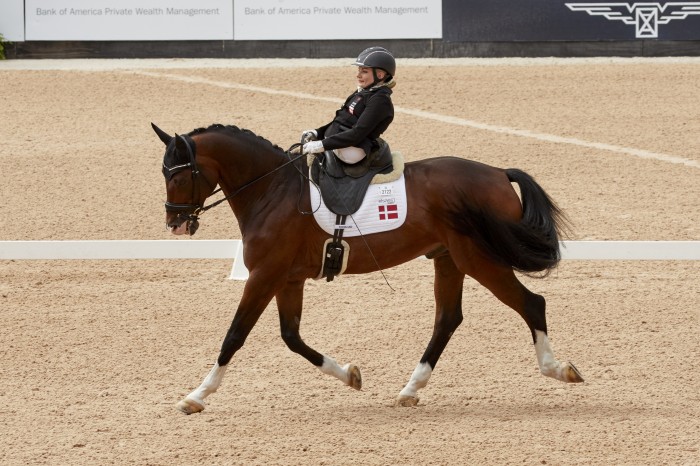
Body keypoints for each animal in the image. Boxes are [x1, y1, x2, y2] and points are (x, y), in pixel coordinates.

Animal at [153, 122, 584, 414]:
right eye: (164, 173)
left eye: (180, 175)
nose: (175, 224)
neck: (272, 191)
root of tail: (498, 173)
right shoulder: (288, 279)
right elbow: (292, 337)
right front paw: (350, 375)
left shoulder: (265, 276)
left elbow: (234, 336)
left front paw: (196, 396)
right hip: (450, 259)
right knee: (447, 319)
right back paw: (410, 389)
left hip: (480, 259)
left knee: (531, 303)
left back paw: (559, 369)